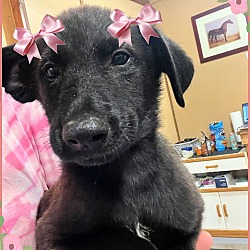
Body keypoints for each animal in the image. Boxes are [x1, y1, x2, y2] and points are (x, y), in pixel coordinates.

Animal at [2, 5, 204, 250]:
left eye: (121, 58)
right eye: (50, 71)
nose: (84, 134)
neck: (126, 175)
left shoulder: (187, 226)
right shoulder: (50, 234)